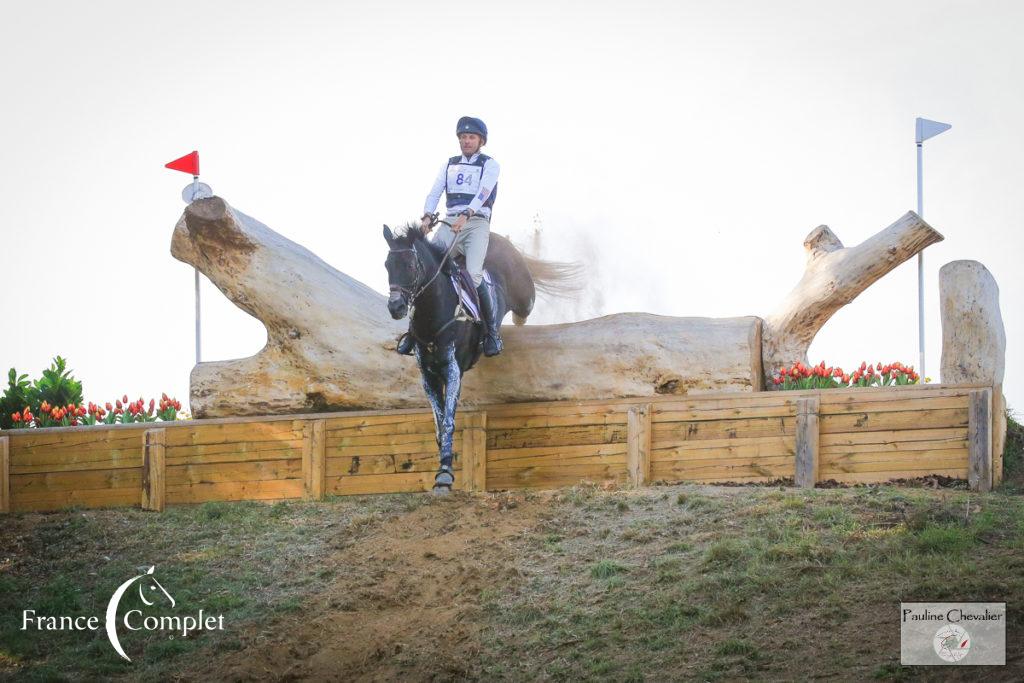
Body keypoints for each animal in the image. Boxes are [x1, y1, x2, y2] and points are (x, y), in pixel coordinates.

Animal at [382, 224, 581, 497]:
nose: (396, 307)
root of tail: (503, 240)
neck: (435, 314)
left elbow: (448, 421)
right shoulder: (428, 376)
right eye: (387, 265)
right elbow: (438, 422)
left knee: (521, 311)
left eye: (411, 266)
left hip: (524, 297)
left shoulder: (453, 370)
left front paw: (444, 476)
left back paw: (501, 334)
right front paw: (444, 464)